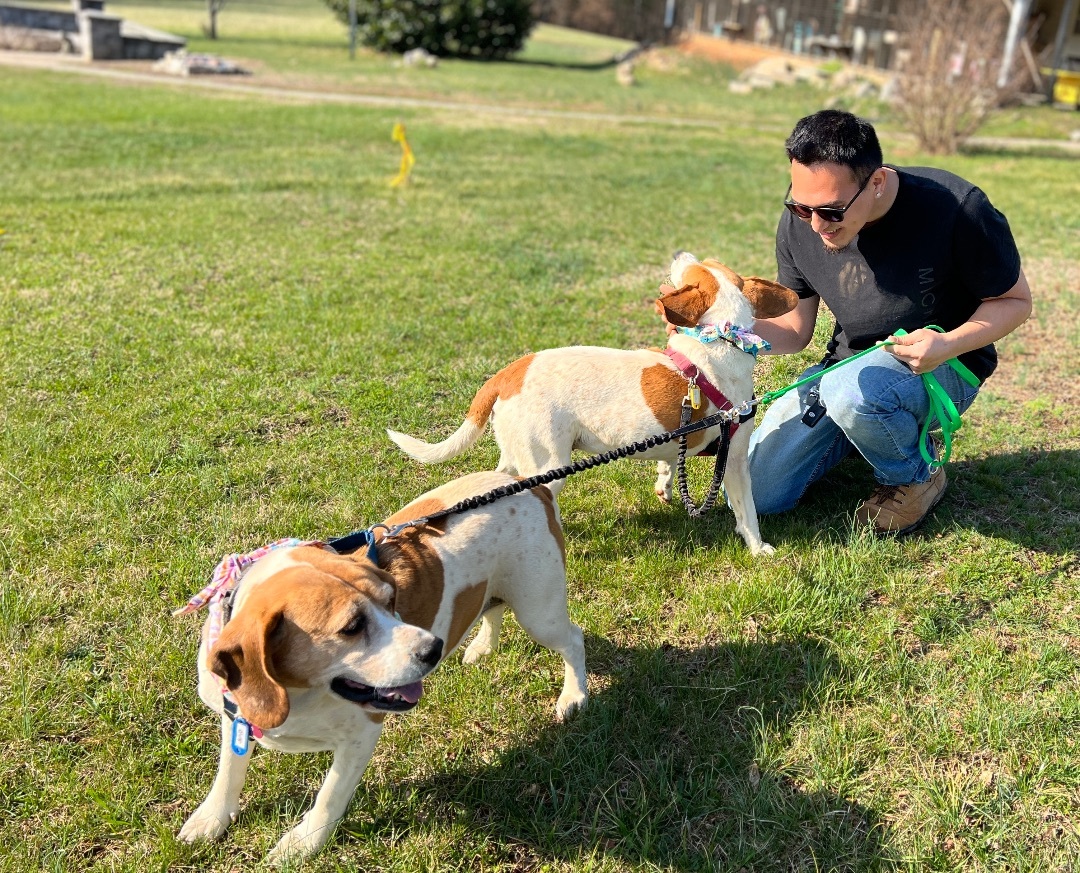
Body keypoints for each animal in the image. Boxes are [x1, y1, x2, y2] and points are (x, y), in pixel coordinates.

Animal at [174, 473, 591, 864]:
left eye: (391, 600)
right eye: (352, 627)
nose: (433, 649)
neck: (298, 693)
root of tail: (526, 484)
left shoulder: (360, 735)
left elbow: (330, 794)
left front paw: (303, 843)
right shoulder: (235, 714)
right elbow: (229, 771)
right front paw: (211, 818)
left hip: (540, 613)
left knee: (574, 639)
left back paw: (574, 695)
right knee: (493, 609)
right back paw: (483, 647)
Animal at [386, 252, 794, 553]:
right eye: (690, 268)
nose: (678, 252)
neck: (722, 338)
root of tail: (509, 372)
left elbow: (668, 464)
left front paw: (664, 487)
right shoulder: (735, 457)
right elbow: (748, 513)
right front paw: (759, 549)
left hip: (517, 456)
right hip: (547, 465)